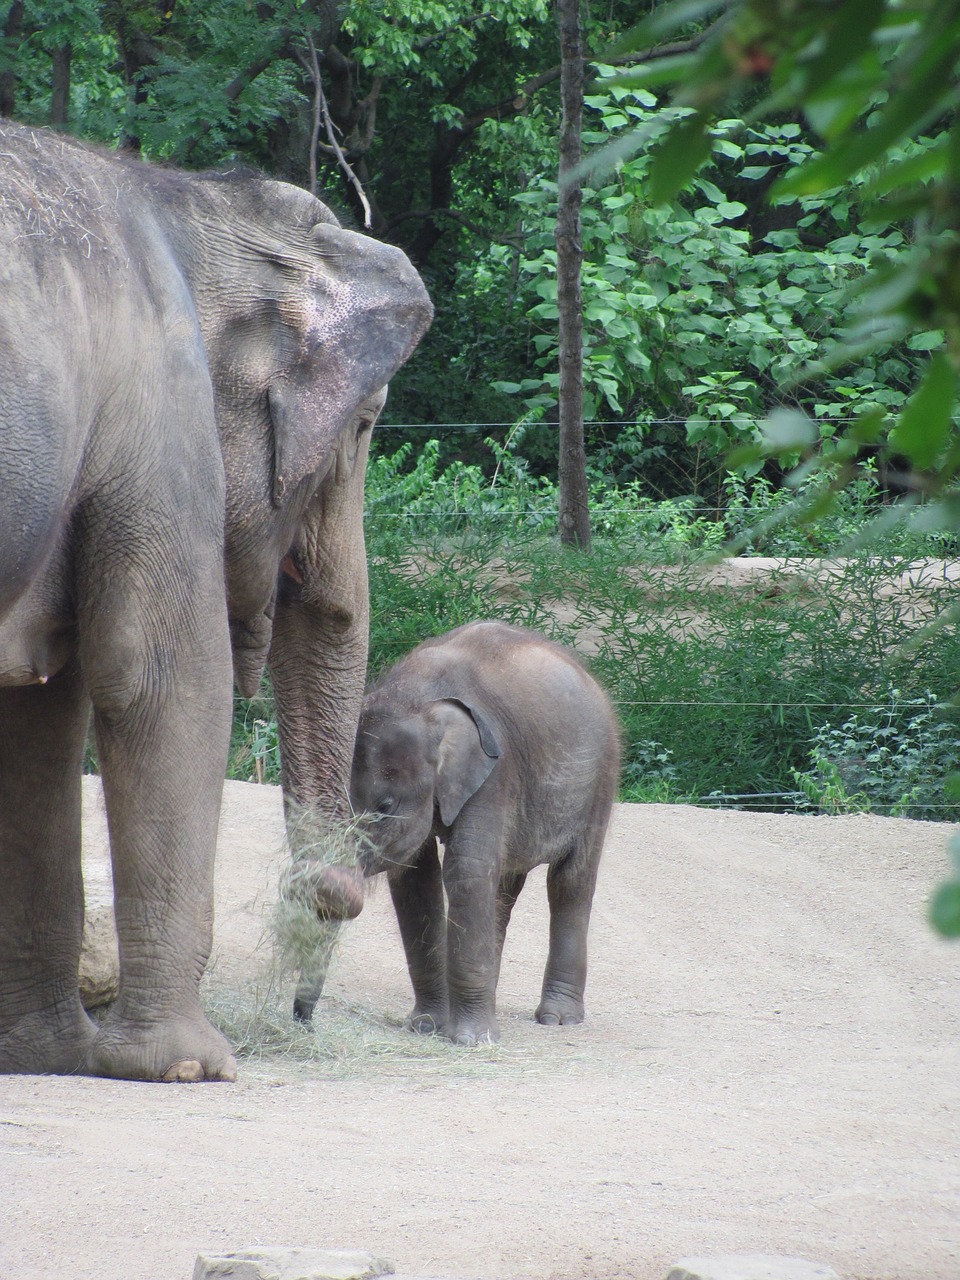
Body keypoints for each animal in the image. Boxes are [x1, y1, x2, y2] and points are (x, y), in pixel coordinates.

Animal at [0, 120, 432, 1080]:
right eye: (365, 425)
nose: (334, 888)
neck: (185, 196)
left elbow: (40, 721)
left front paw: (48, 1056)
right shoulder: (159, 409)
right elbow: (165, 680)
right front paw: (192, 1067)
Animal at [350, 614, 619, 1044]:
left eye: (385, 807)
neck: (418, 696)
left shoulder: (495, 770)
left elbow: (466, 872)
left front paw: (471, 1041)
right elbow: (414, 880)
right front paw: (426, 1027)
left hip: (602, 774)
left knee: (570, 881)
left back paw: (558, 1019)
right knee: (504, 885)